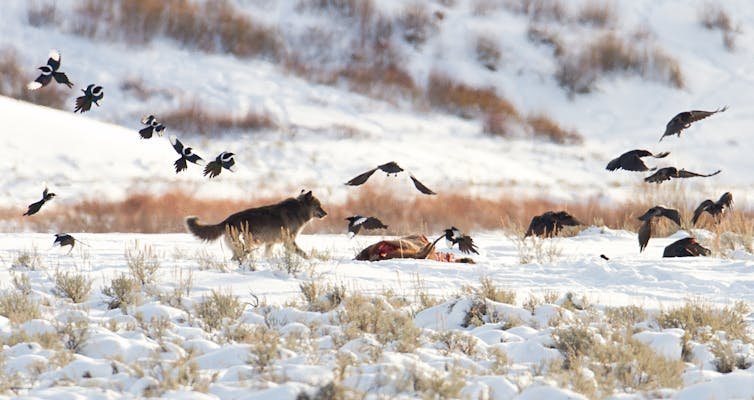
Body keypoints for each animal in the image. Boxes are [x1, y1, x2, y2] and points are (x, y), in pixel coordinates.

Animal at [185, 192, 326, 258]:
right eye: (319, 206)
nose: (326, 214)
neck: (298, 210)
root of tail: (227, 220)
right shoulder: (289, 242)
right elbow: (304, 254)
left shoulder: (270, 243)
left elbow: (268, 255)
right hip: (244, 247)